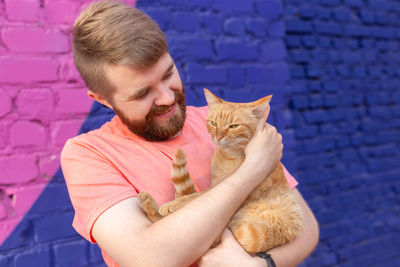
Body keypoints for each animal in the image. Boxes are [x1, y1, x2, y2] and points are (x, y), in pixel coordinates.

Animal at [139, 89, 302, 254]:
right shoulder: (215, 183)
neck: (228, 157)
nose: (218, 137)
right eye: (214, 123)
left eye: (234, 126)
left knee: (214, 240)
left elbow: (195, 196)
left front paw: (174, 203)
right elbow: (196, 194)